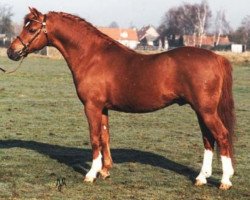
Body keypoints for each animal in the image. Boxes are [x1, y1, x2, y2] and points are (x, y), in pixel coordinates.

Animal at [6, 7, 235, 189]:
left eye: (31, 29)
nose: (11, 52)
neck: (91, 56)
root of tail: (217, 57)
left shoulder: (91, 106)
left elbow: (94, 138)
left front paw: (91, 174)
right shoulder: (103, 108)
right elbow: (105, 136)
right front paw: (105, 170)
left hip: (206, 111)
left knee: (222, 136)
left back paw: (225, 181)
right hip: (201, 111)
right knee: (208, 139)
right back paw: (201, 178)